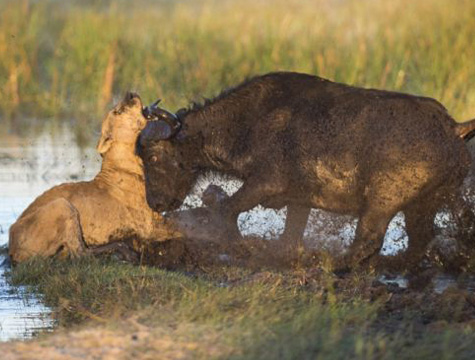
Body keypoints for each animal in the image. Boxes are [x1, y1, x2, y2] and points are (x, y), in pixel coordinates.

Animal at [138, 72, 475, 270]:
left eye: (153, 156)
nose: (155, 203)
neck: (250, 120)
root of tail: (452, 128)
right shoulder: (299, 201)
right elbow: (289, 235)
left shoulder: (265, 184)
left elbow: (225, 209)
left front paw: (242, 249)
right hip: (423, 205)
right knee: (418, 240)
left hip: (383, 202)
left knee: (369, 239)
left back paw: (334, 266)